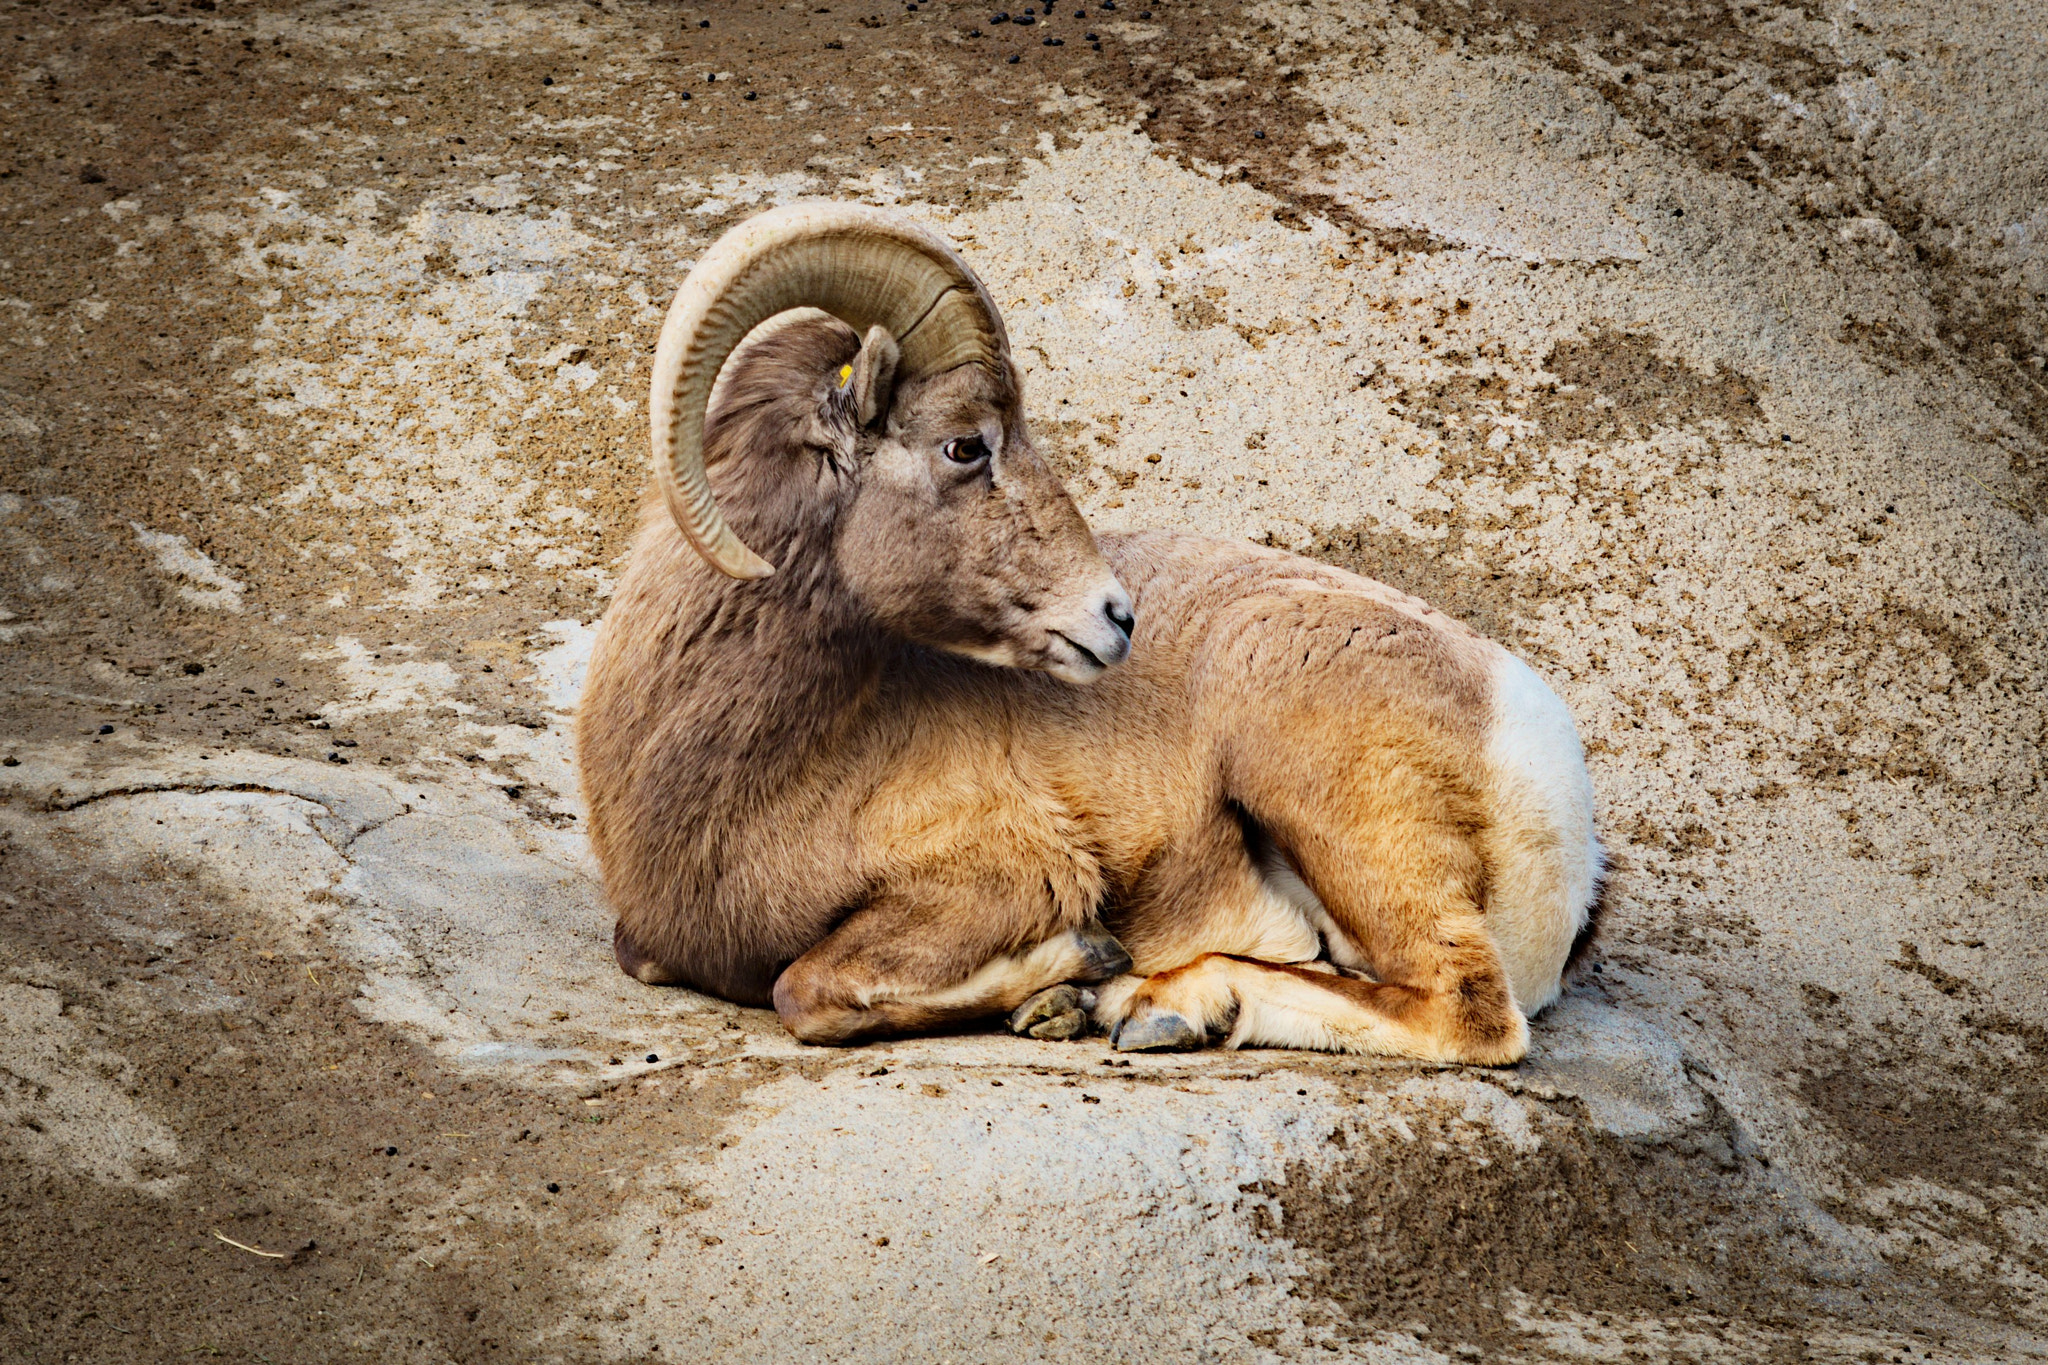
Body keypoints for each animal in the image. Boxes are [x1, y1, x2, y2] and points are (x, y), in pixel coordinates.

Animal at [577, 202, 1597, 1064]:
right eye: (966, 445)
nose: (1116, 616)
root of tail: (1540, 751)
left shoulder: (1001, 877)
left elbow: (807, 987)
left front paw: (1078, 970)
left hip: (1323, 791)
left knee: (1464, 1010)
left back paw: (1158, 1005)